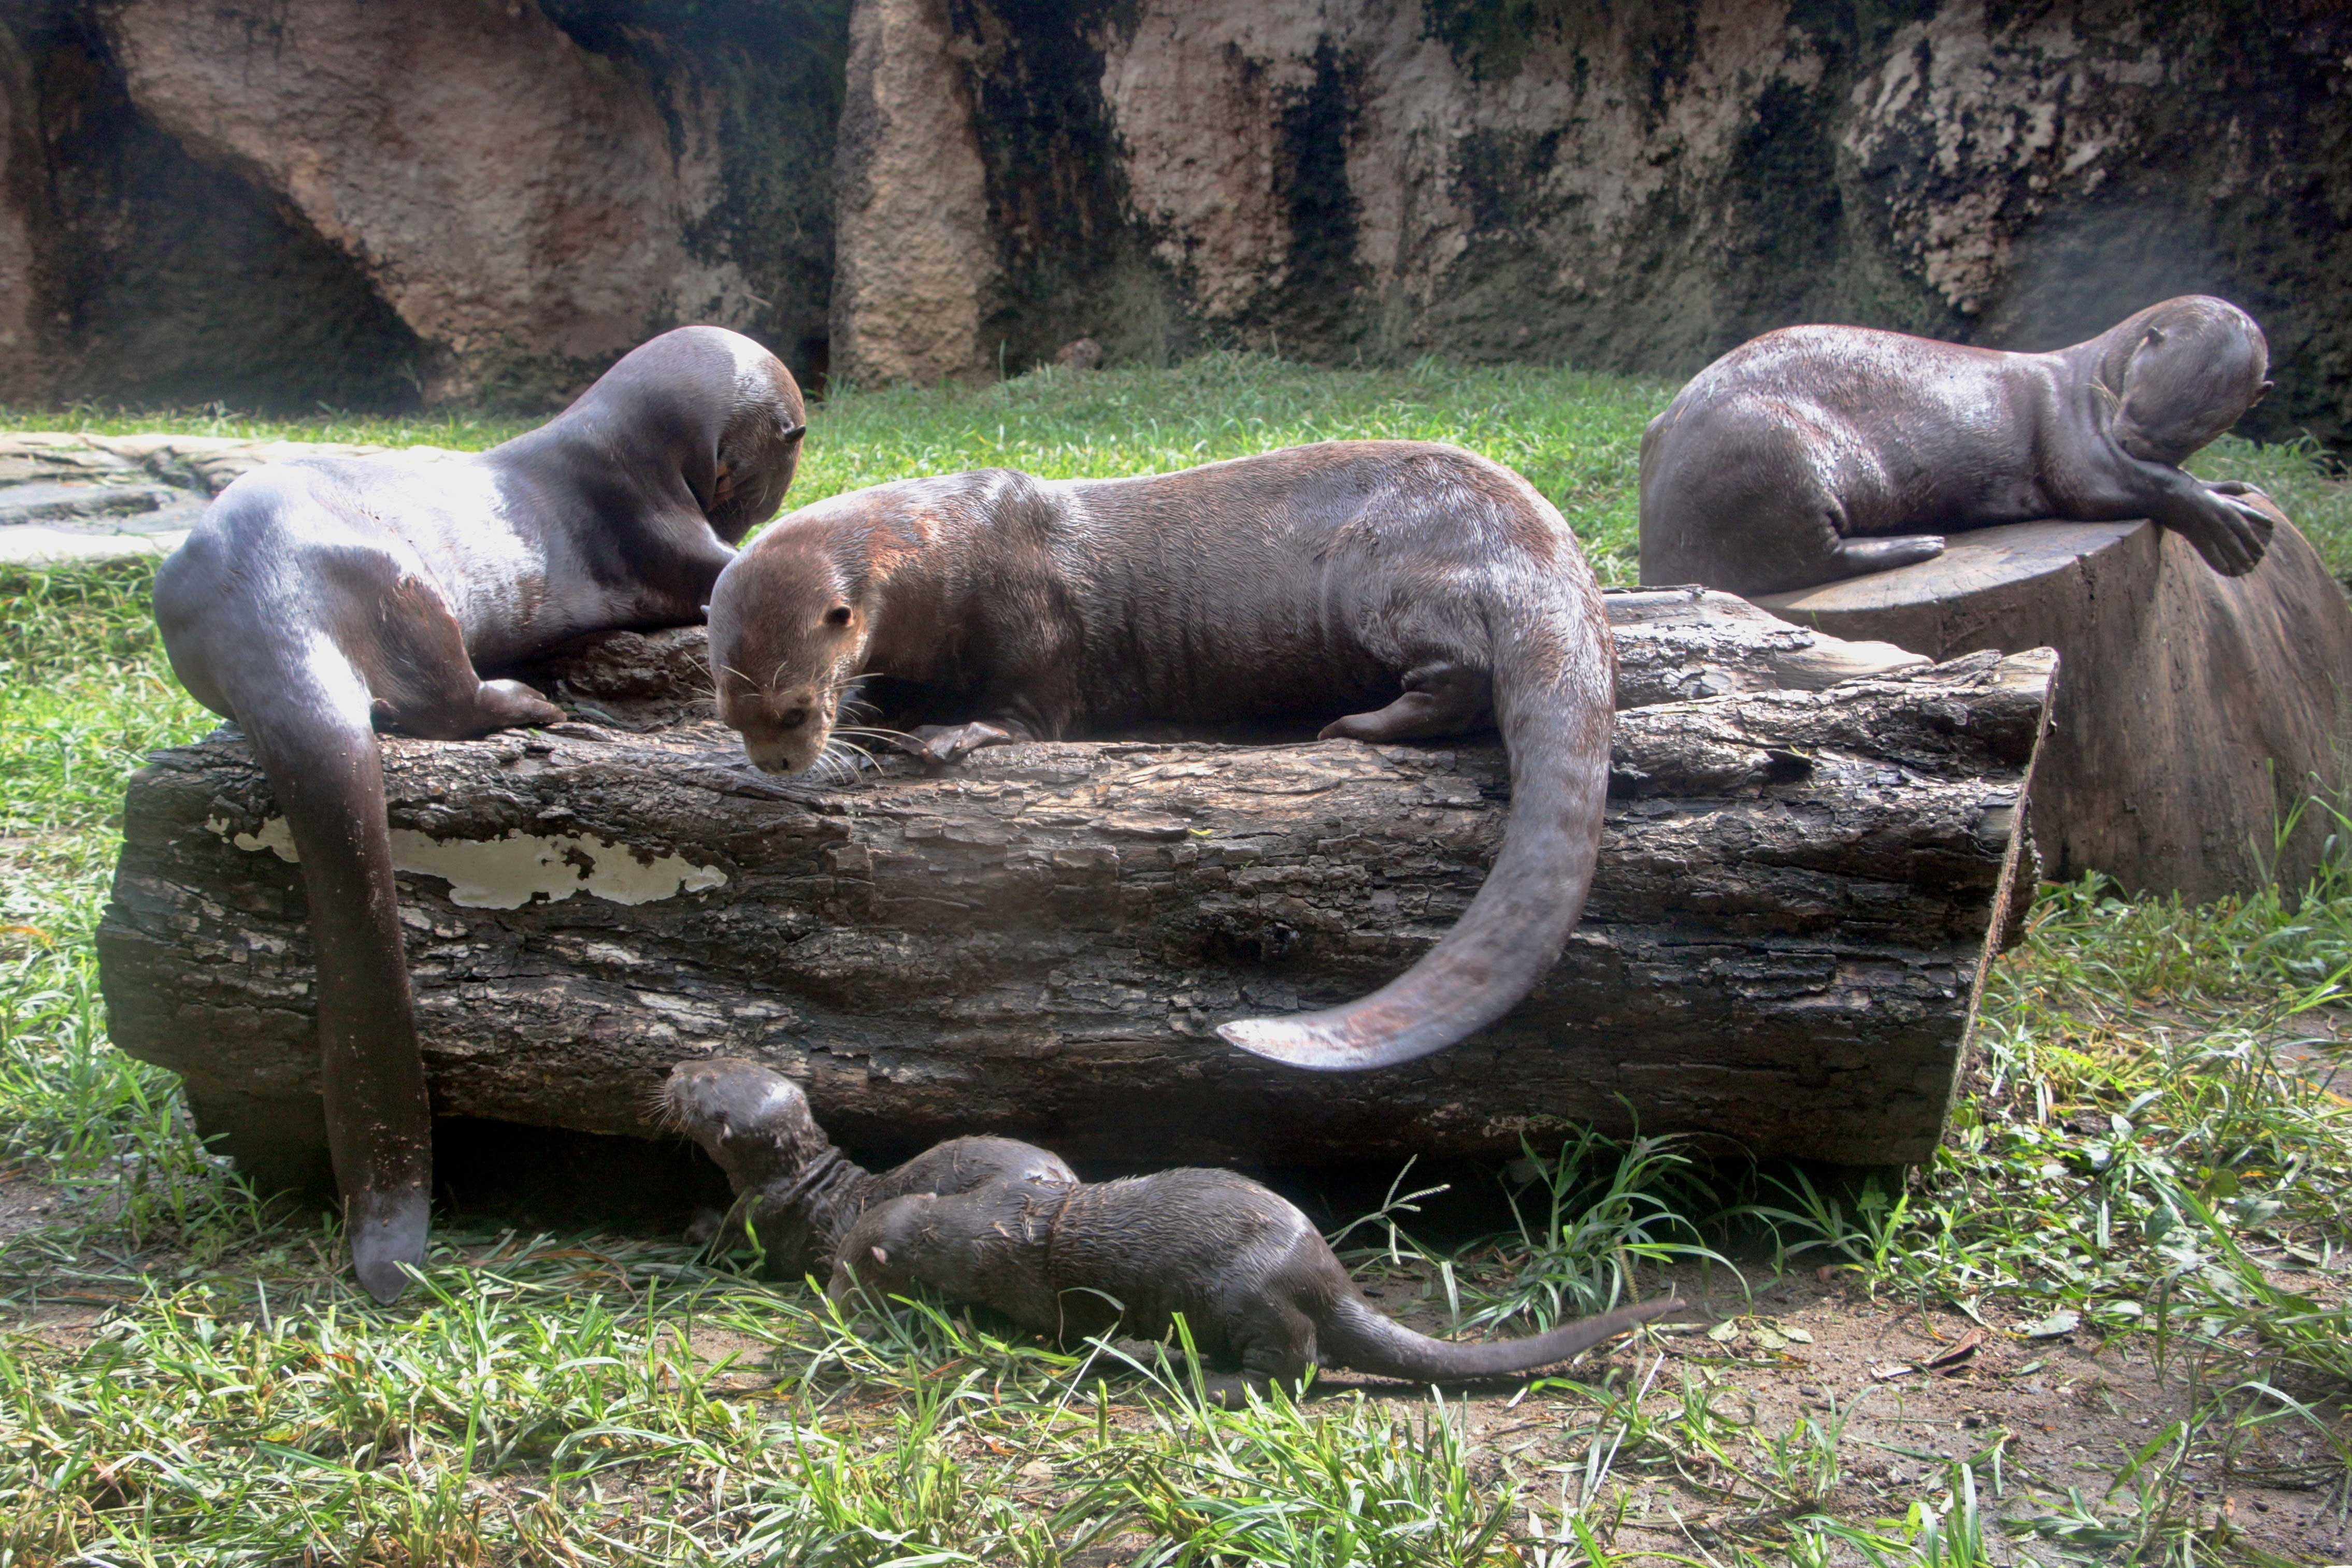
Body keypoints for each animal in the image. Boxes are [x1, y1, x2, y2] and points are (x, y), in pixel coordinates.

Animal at [154, 331, 809, 1298]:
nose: (767, 495)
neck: (621, 456)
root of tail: (266, 593)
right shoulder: (663, 532)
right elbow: (729, 573)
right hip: (413, 595)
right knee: (441, 702)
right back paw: (532, 702)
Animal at [700, 442, 1618, 1081]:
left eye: (797, 708)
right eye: (732, 713)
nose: (779, 761)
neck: (945, 551)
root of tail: (1543, 544)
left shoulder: (1034, 618)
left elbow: (1032, 709)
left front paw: (955, 734)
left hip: (1390, 576)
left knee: (1461, 673)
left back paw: (1350, 725)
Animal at [837, 1166, 1684, 1410]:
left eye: (847, 1272)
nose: (839, 1305)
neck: (988, 1226)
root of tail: (1327, 1280)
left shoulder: (1028, 1289)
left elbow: (1049, 1326)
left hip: (1245, 1298)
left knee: (1294, 1368)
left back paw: (1200, 1380)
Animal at [1637, 293, 2276, 595]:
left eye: (2189, 430)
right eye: (2136, 402)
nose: (2127, 437)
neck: (2094, 373)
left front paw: (2227, 485)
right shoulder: (2074, 433)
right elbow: (2097, 485)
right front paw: (2227, 523)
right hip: (1777, 447)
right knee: (1806, 559)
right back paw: (1916, 543)